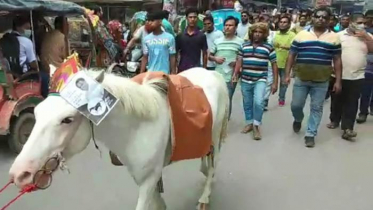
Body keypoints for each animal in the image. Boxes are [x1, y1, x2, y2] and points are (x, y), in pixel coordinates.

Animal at [8, 67, 230, 210]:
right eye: (36, 112)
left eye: (67, 119)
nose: (20, 173)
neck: (137, 128)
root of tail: (214, 73)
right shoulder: (142, 176)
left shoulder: (149, 179)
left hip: (216, 132)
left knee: (214, 161)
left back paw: (205, 196)